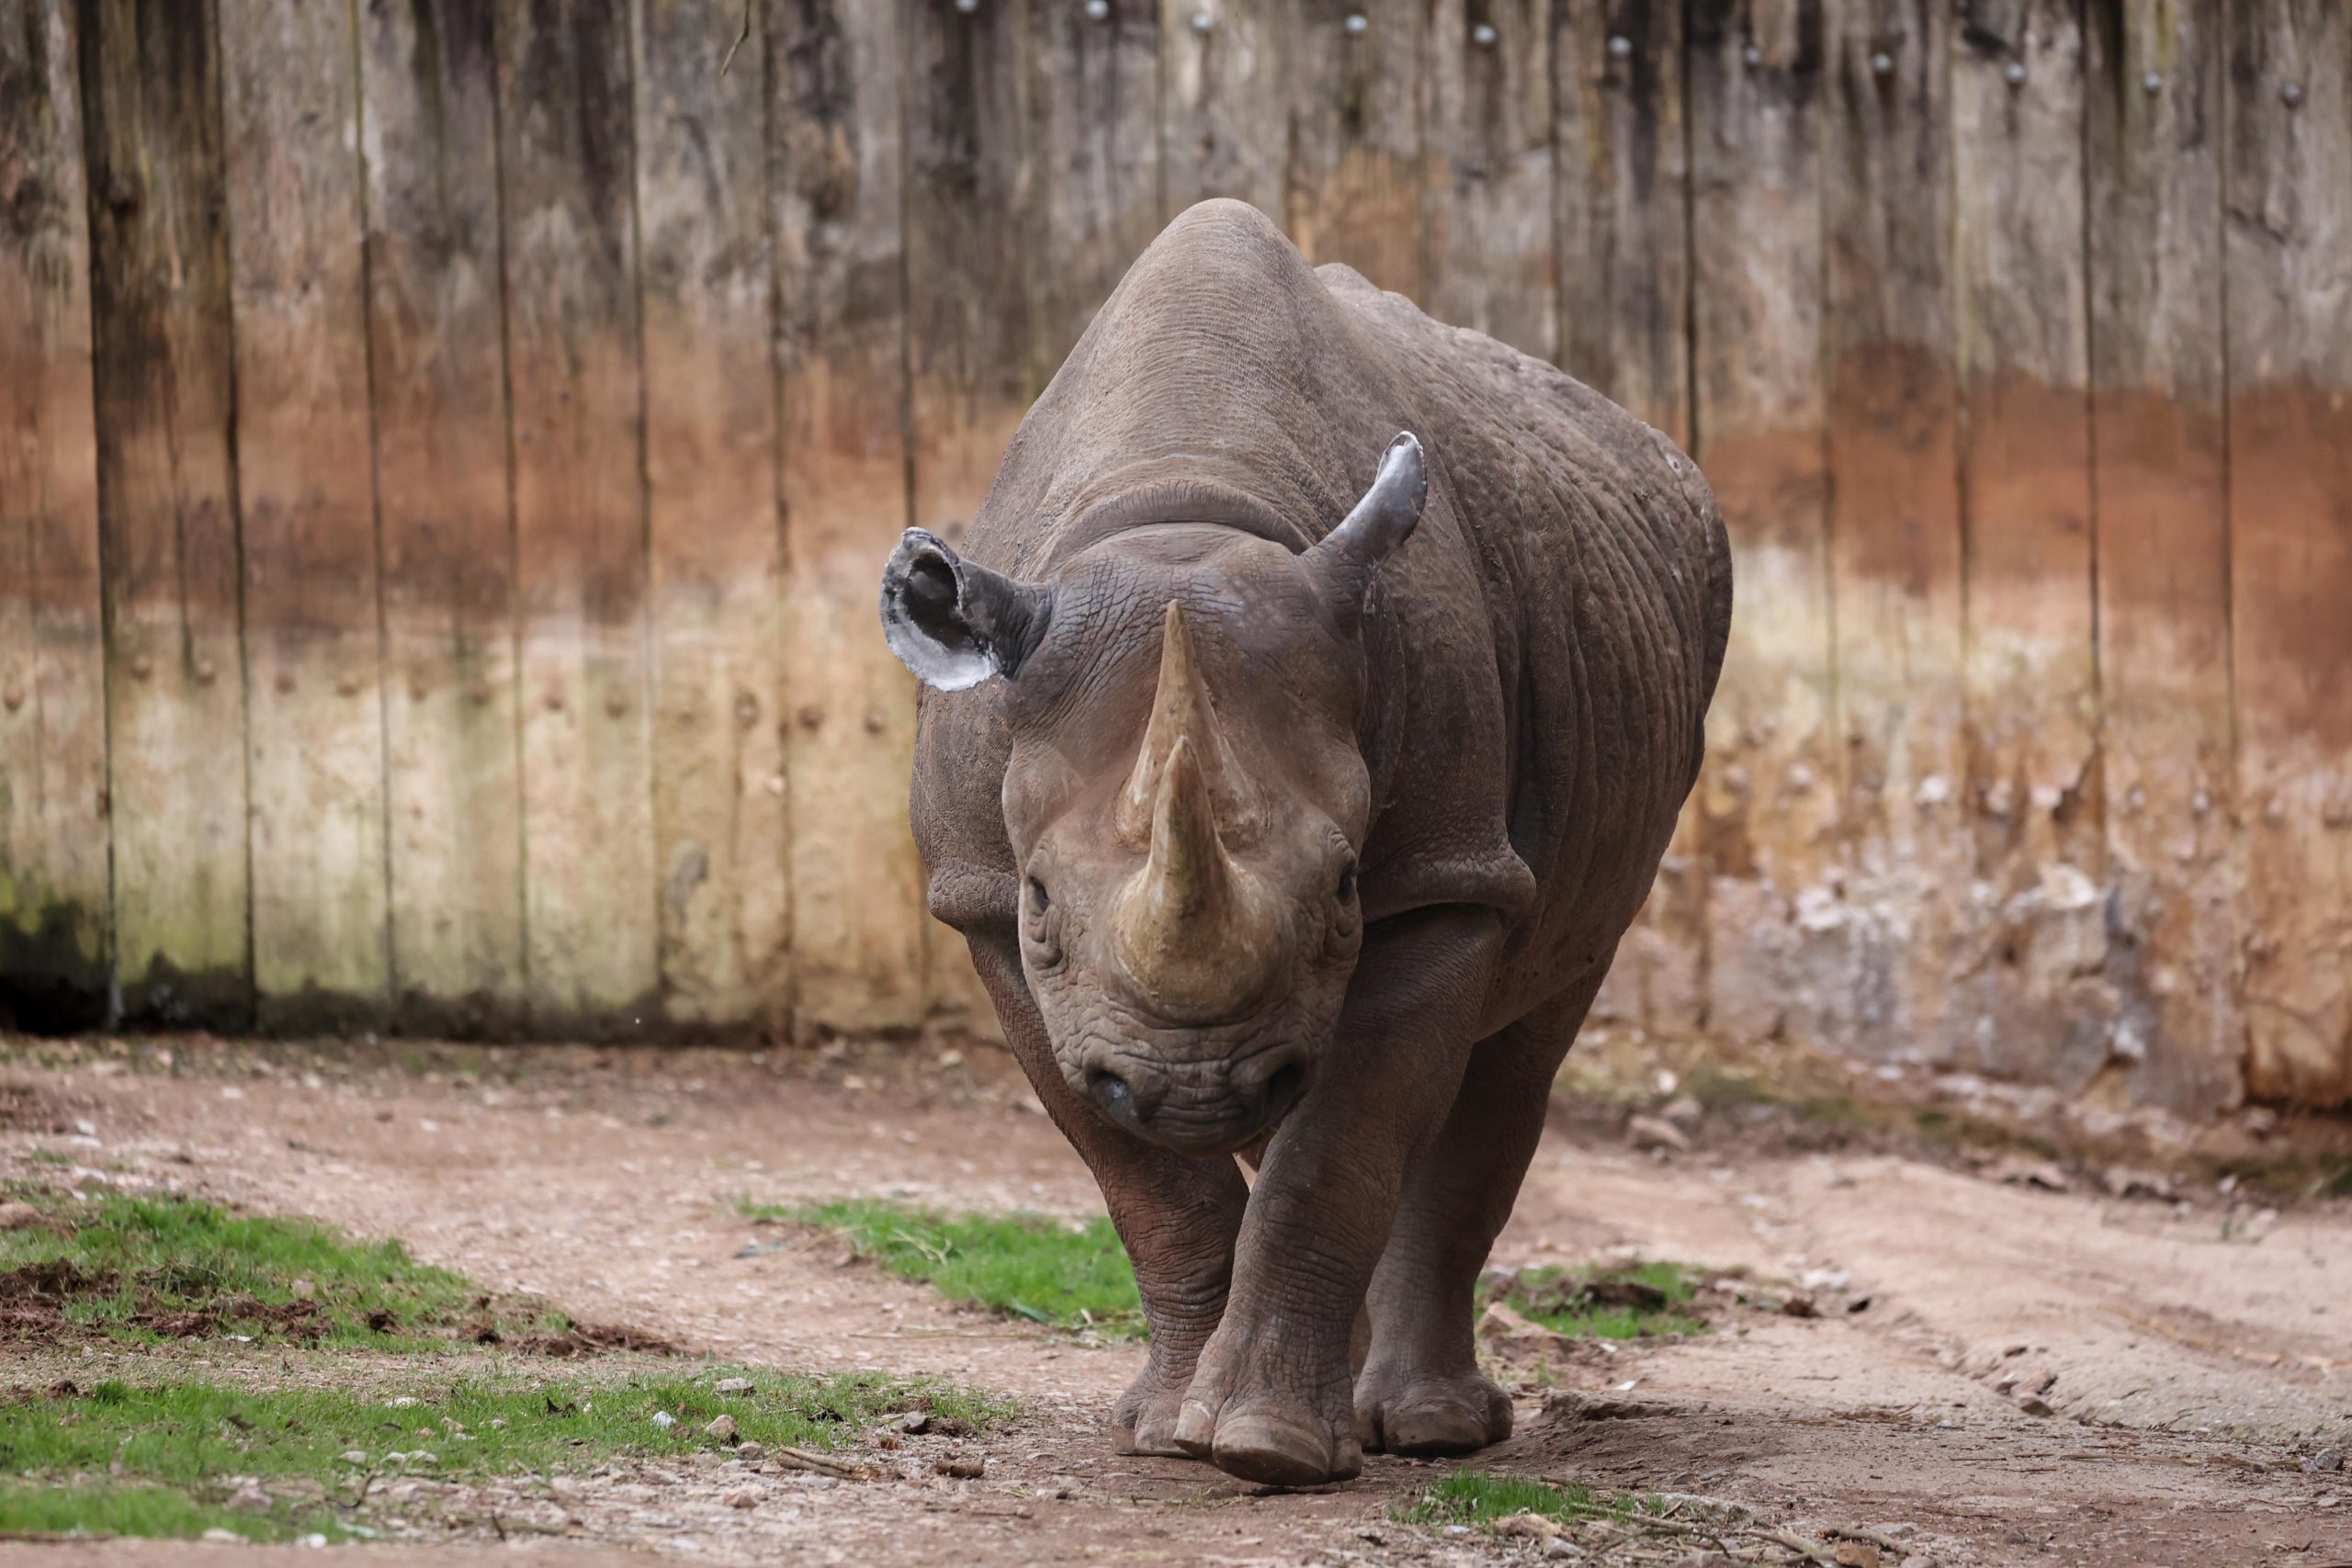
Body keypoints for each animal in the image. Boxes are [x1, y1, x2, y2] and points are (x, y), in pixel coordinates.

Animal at [879, 200, 1730, 1486]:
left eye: (1342, 886)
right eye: (1038, 901)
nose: (1192, 1086)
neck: (1184, 505)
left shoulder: (1441, 876)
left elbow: (1338, 1143)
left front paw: (1264, 1450)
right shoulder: (978, 901)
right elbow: (1148, 1182)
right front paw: (1168, 1436)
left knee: (1521, 1038)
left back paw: (1423, 1430)